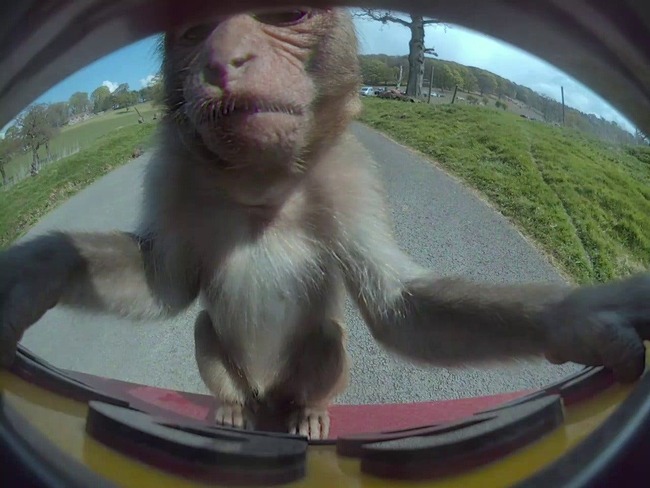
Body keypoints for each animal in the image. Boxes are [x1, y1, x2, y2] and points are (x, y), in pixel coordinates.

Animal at [0, 8, 649, 440]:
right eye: (193, 28)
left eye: (285, 16)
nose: (222, 60)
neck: (260, 190)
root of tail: (268, 398)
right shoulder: (172, 170)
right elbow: (167, 283)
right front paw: (39, 267)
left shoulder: (348, 178)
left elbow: (395, 307)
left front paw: (575, 320)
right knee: (206, 327)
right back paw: (234, 408)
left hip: (303, 373)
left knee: (330, 338)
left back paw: (309, 413)